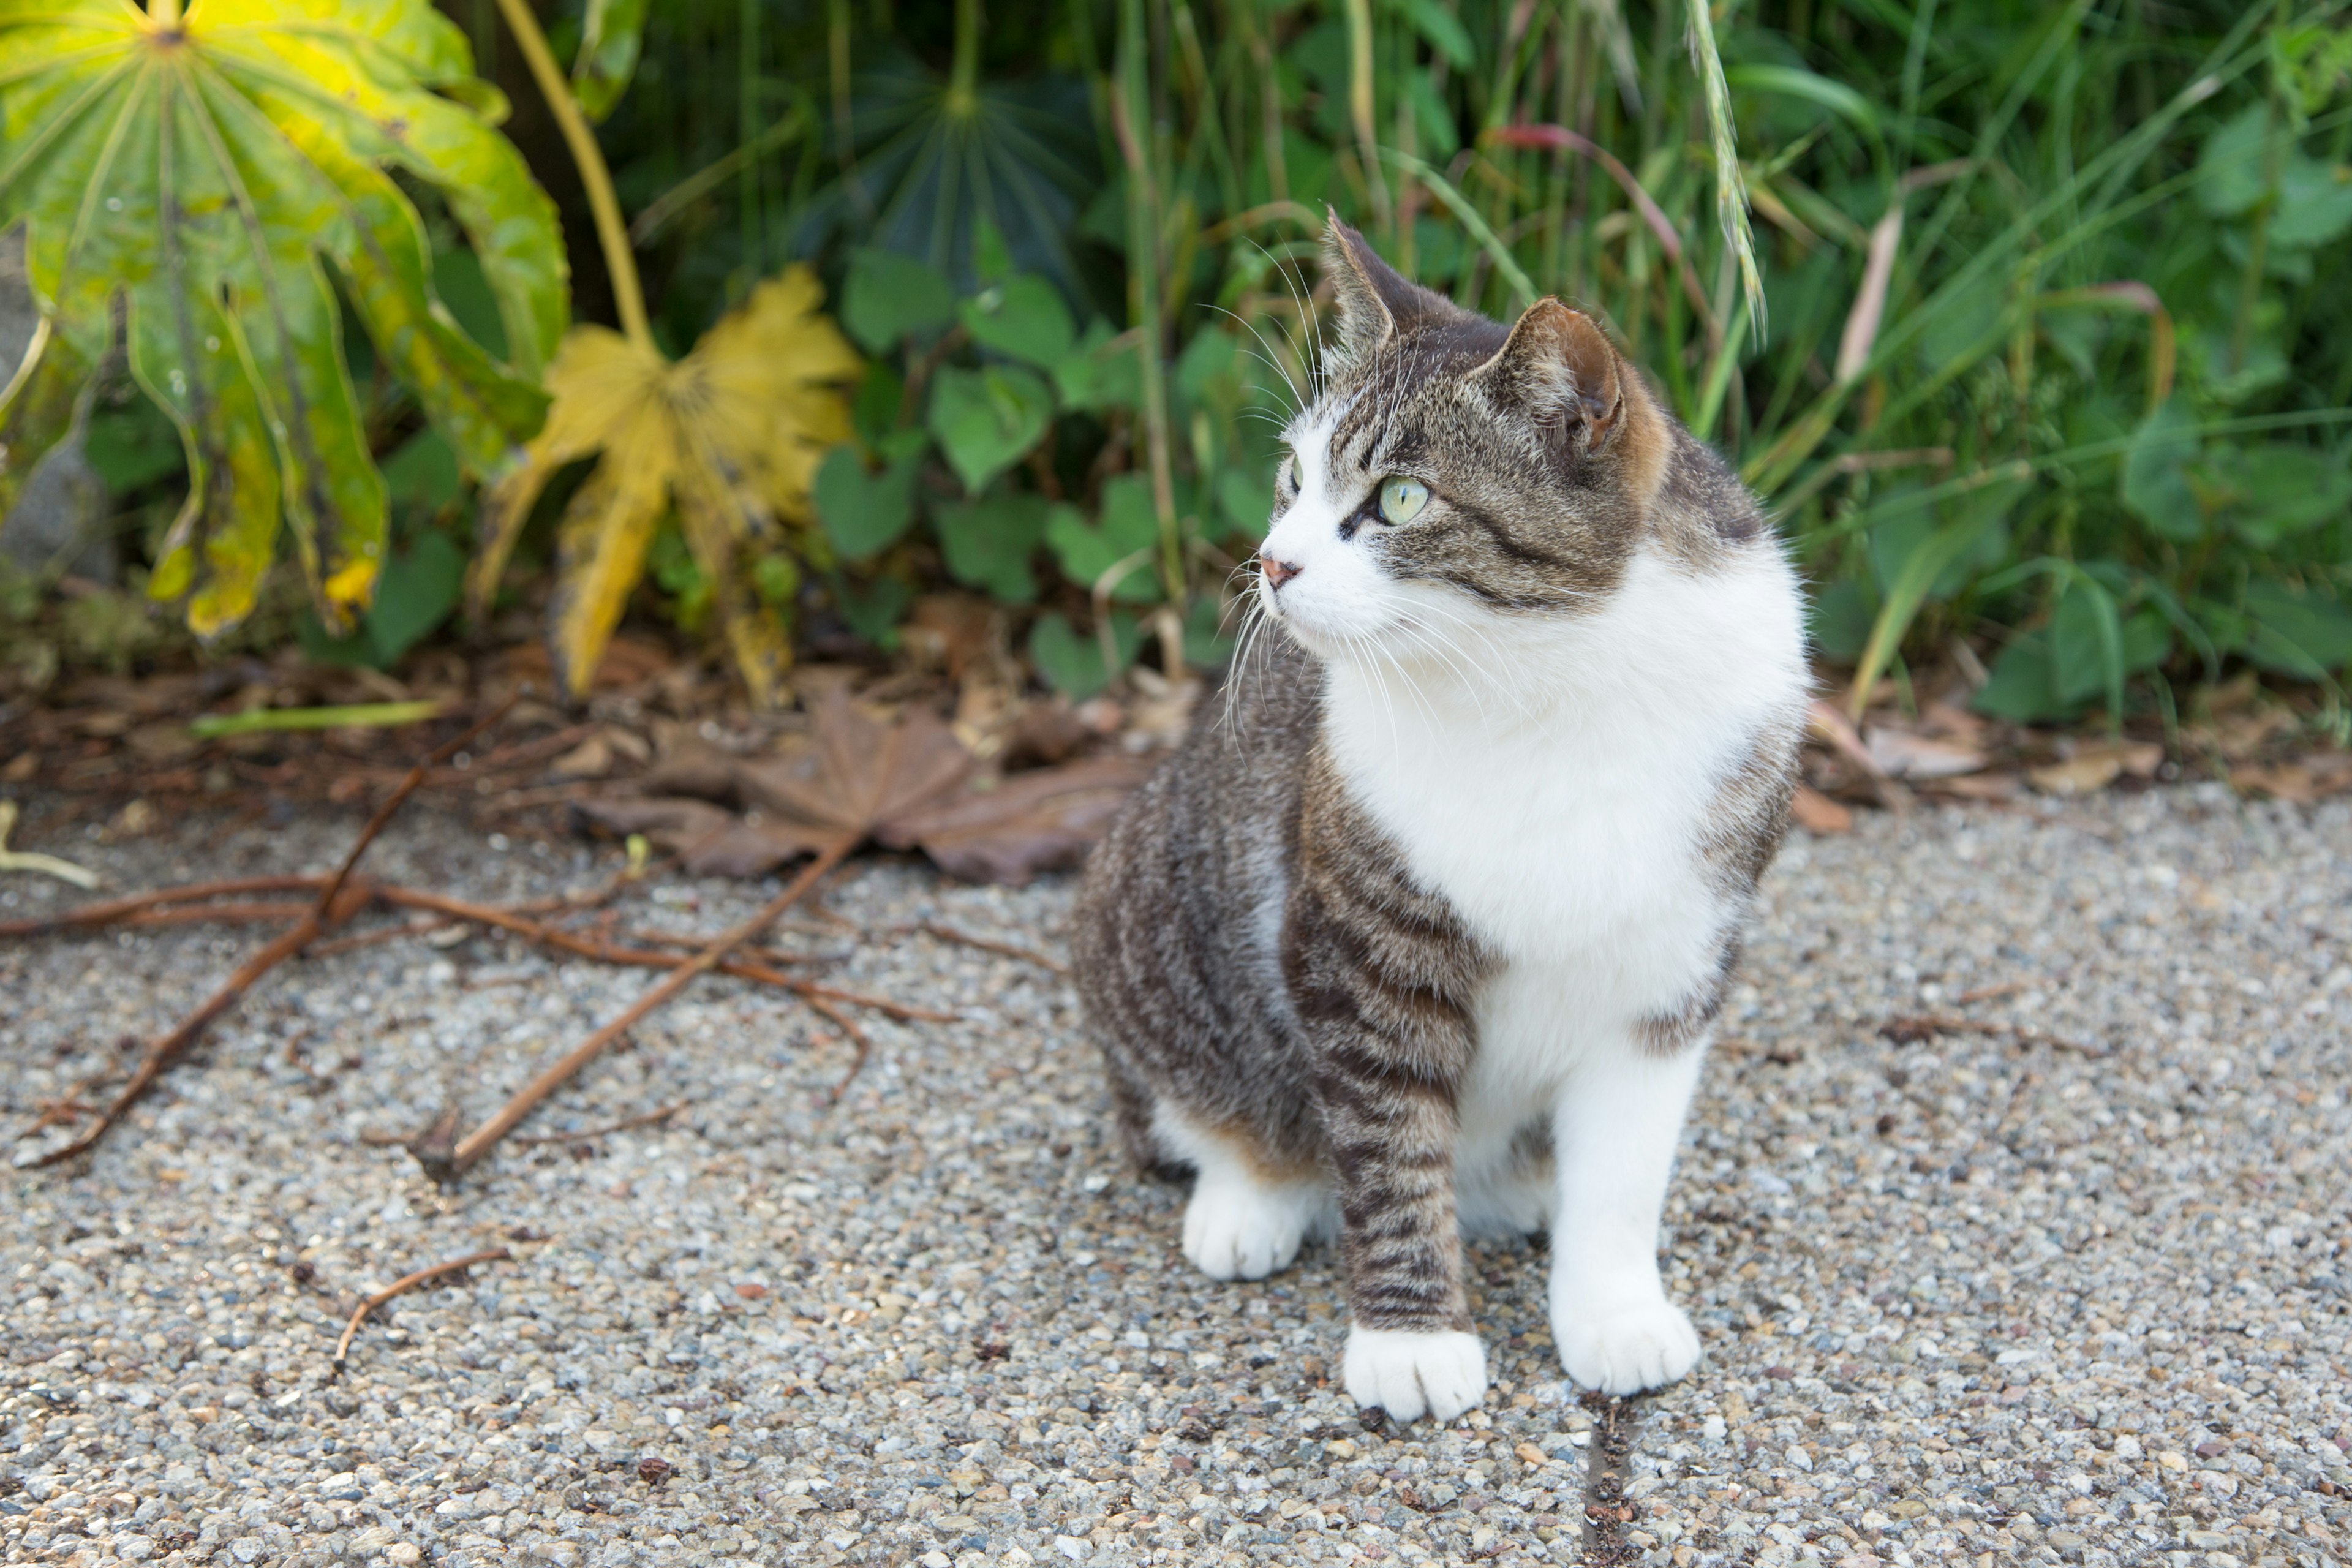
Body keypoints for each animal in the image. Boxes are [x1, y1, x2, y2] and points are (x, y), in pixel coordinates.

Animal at [1077, 217, 1806, 1420]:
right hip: (1141, 907)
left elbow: (1624, 1174)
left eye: (1403, 500)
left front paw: (1611, 1311)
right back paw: (1250, 1195)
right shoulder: (1362, 953)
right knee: (1197, 1104)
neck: (1549, 686)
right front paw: (1411, 1339)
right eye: (1294, 477)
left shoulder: (1672, 968)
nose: (1274, 562)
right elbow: (1388, 1148)